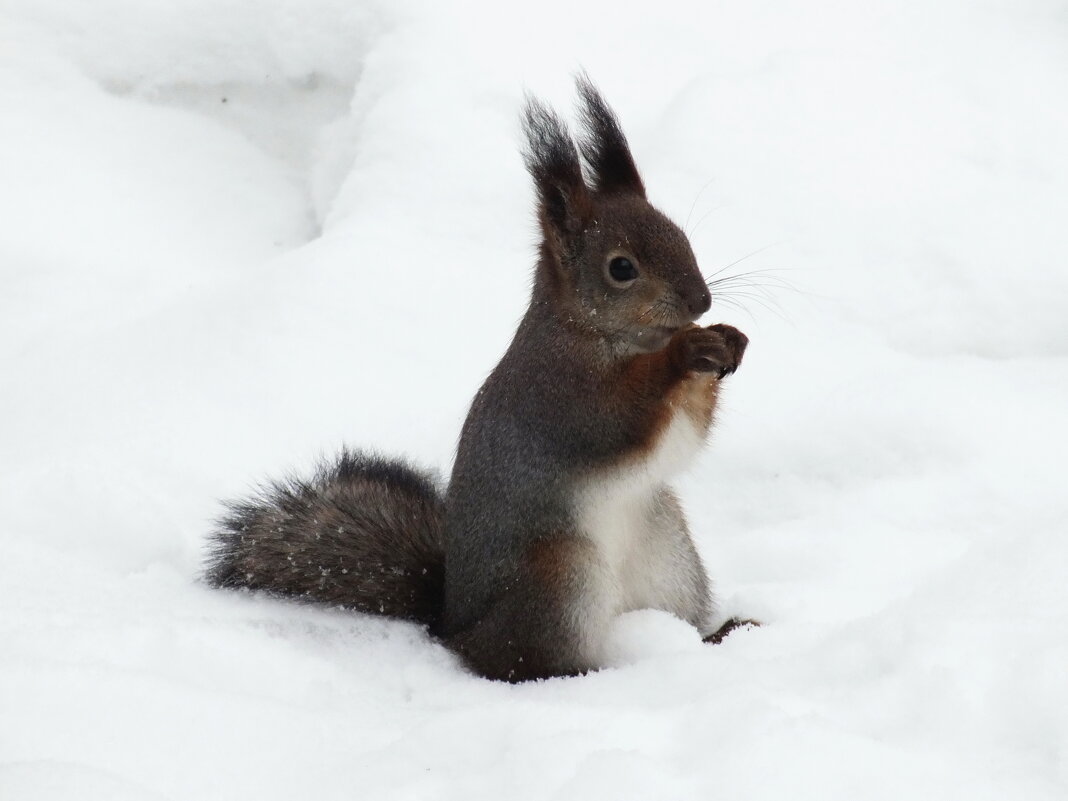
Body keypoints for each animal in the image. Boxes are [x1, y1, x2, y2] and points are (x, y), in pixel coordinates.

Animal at [201, 76, 751, 683]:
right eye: (621, 268)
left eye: (680, 233)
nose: (701, 301)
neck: (599, 335)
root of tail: (454, 623)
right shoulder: (560, 393)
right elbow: (618, 417)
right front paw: (686, 350)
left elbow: (685, 435)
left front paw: (726, 341)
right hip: (560, 578)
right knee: (521, 662)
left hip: (668, 556)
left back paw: (719, 635)